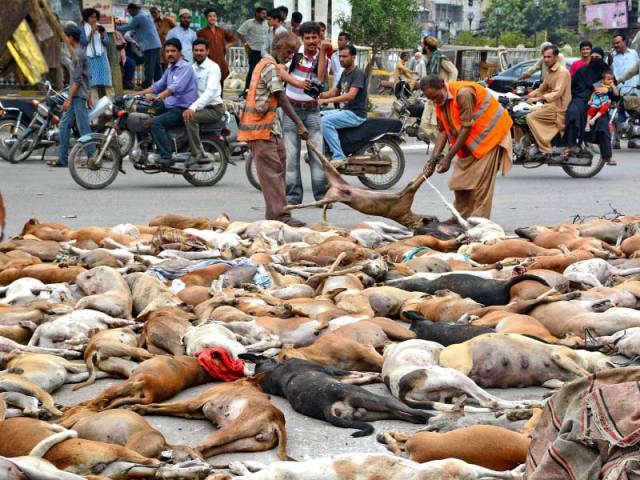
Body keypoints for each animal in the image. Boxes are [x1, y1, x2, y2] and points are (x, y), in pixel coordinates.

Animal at [239, 354, 430, 436]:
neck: (272, 373)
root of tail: (326, 406)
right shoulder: (332, 370)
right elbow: (356, 374)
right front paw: (373, 375)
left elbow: (357, 376)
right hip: (378, 400)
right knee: (415, 412)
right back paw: (430, 415)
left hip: (374, 412)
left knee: (408, 416)